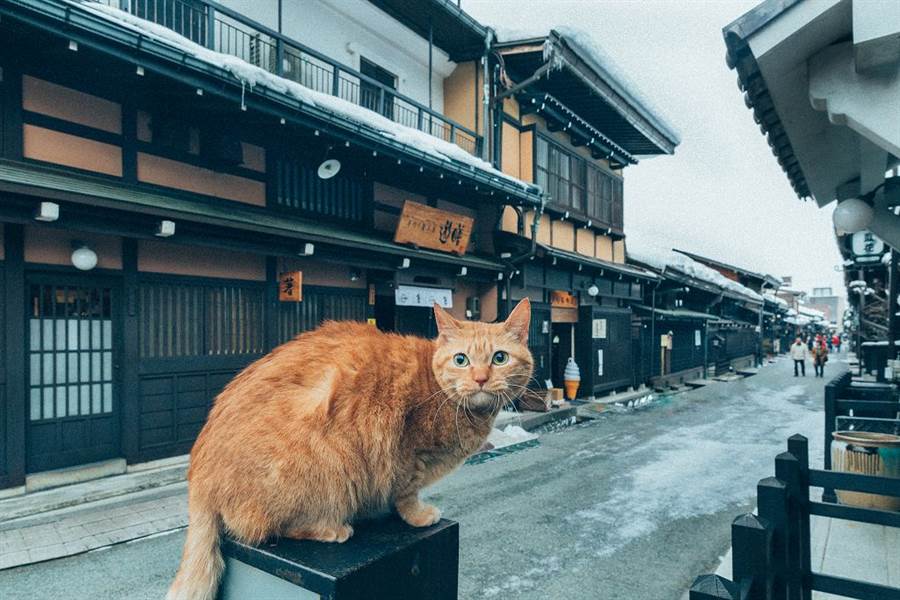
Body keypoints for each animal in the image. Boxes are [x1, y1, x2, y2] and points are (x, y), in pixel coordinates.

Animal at [166, 298, 532, 596]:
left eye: (500, 358)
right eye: (461, 360)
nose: (481, 379)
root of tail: (198, 479)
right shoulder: (408, 456)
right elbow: (406, 494)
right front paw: (417, 516)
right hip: (328, 470)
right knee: (267, 529)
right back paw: (333, 528)